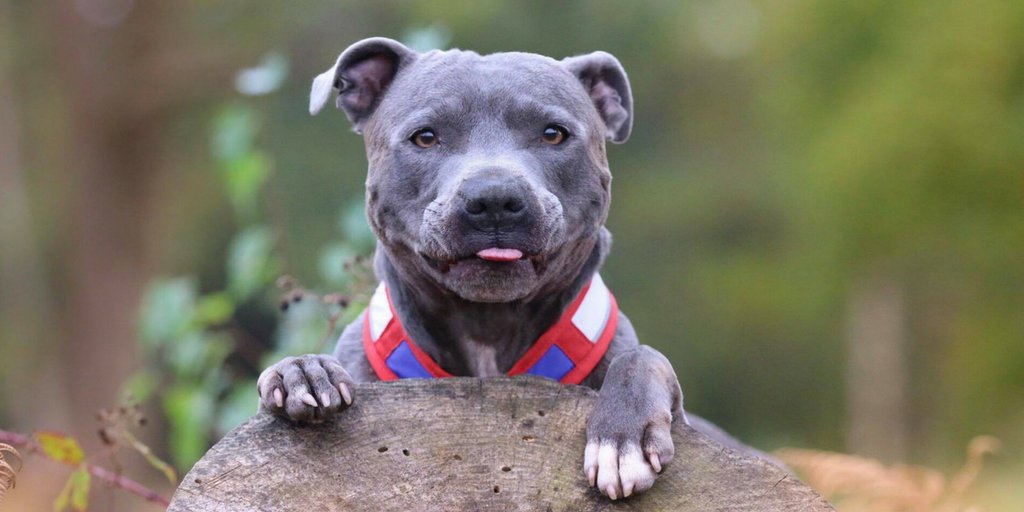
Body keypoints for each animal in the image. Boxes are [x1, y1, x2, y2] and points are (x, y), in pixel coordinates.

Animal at [254, 37, 741, 499]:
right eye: (425, 137)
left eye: (553, 134)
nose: (494, 199)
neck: (486, 326)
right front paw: (303, 372)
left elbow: (645, 358)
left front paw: (622, 439)